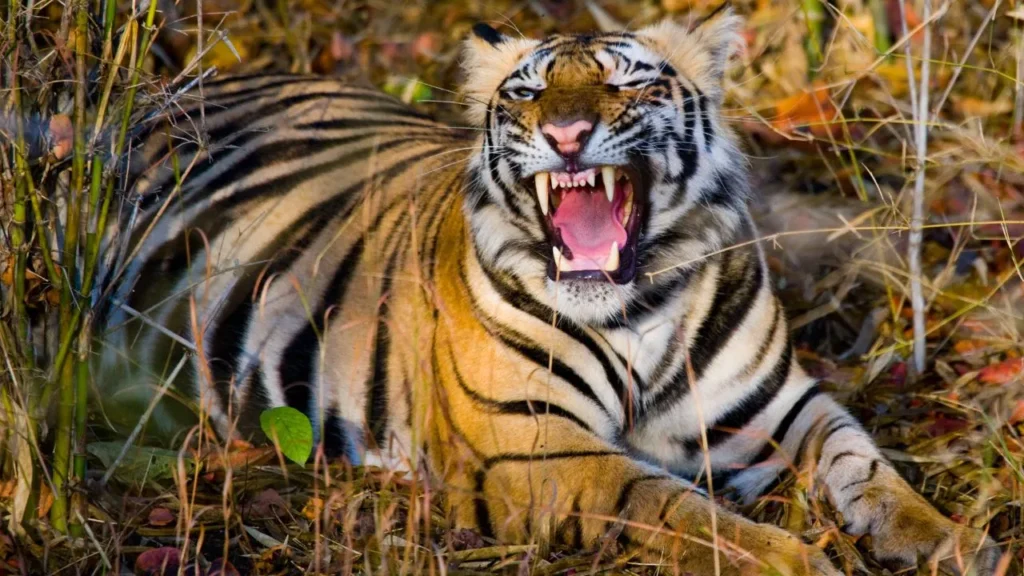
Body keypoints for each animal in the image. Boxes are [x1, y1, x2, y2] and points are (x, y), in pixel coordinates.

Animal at [95, 8, 1001, 576]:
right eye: (528, 93)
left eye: (629, 84)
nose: (567, 136)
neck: (638, 312)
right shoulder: (533, 445)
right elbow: (670, 506)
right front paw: (790, 559)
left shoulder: (780, 408)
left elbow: (866, 465)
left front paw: (956, 544)